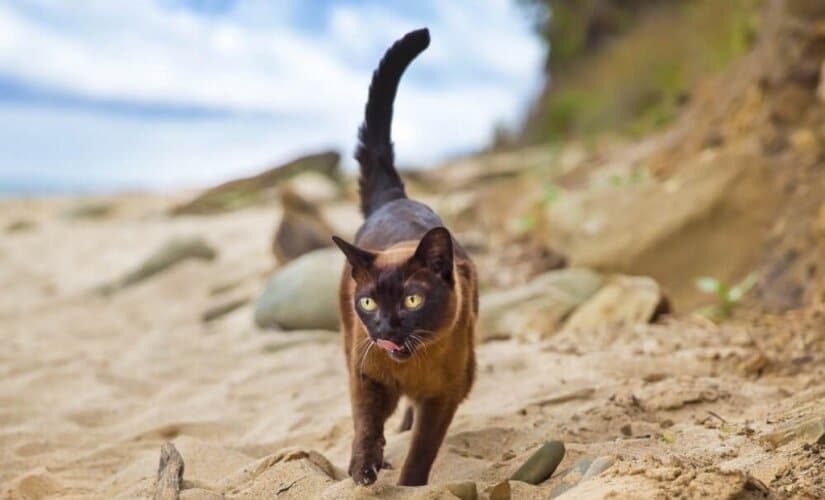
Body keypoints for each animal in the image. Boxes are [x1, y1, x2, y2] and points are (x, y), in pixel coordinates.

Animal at [332, 28, 480, 488]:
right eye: (368, 302)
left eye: (412, 300)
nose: (384, 325)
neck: (410, 368)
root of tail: (394, 199)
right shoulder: (364, 376)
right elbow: (365, 426)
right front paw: (364, 470)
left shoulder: (444, 397)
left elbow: (421, 453)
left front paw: (408, 486)